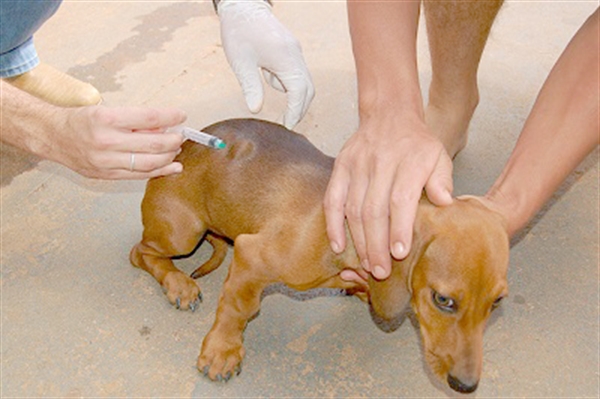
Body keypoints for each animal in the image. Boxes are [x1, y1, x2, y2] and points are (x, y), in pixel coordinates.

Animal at [129, 118, 508, 394]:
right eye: (443, 300)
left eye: (497, 302)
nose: (465, 386)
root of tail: (180, 151)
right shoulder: (252, 256)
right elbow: (238, 308)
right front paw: (222, 351)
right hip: (183, 231)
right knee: (140, 253)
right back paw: (178, 285)